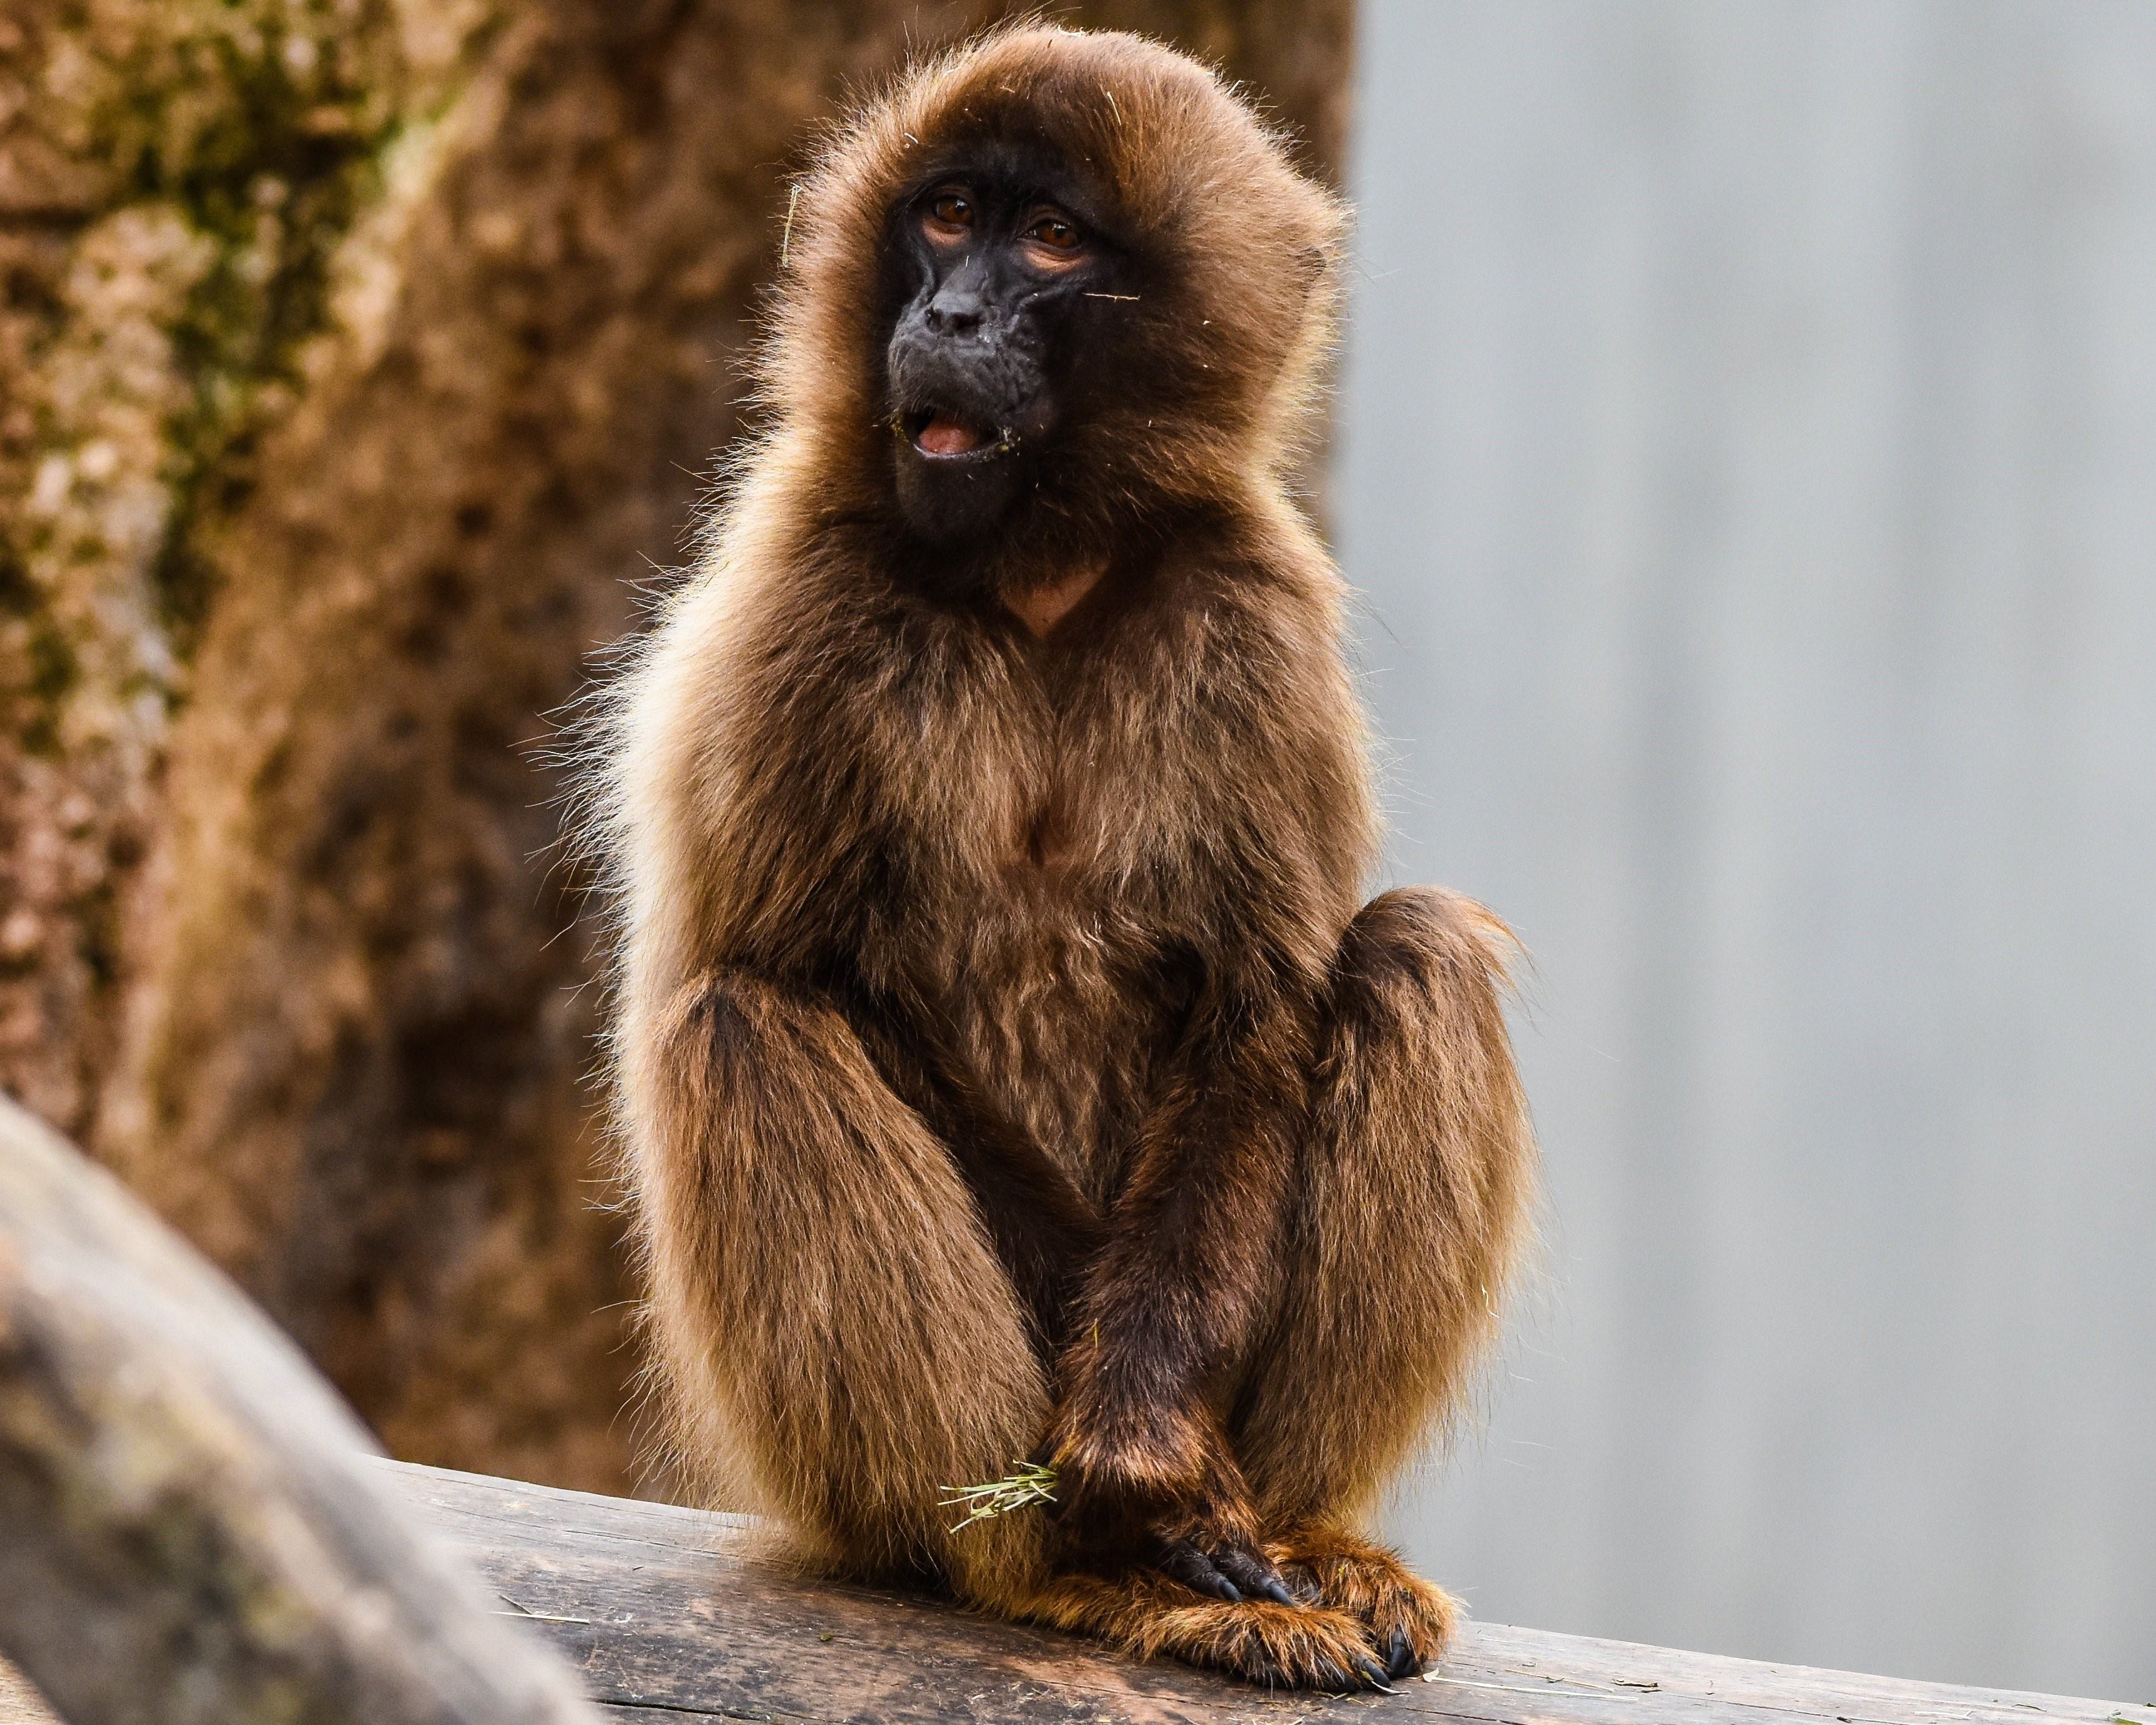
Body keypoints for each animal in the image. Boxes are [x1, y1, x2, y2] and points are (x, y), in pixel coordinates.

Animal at [591, 23, 1535, 1699]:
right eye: (949, 213)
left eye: (1047, 238)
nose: (947, 316)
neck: (1035, 575)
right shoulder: (800, 601)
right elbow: (802, 976)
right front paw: (1130, 1516)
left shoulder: (1250, 607)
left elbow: (1255, 1017)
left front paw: (1143, 1446)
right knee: (741, 1021)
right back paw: (1066, 1573)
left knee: (1421, 949)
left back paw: (1302, 1537)